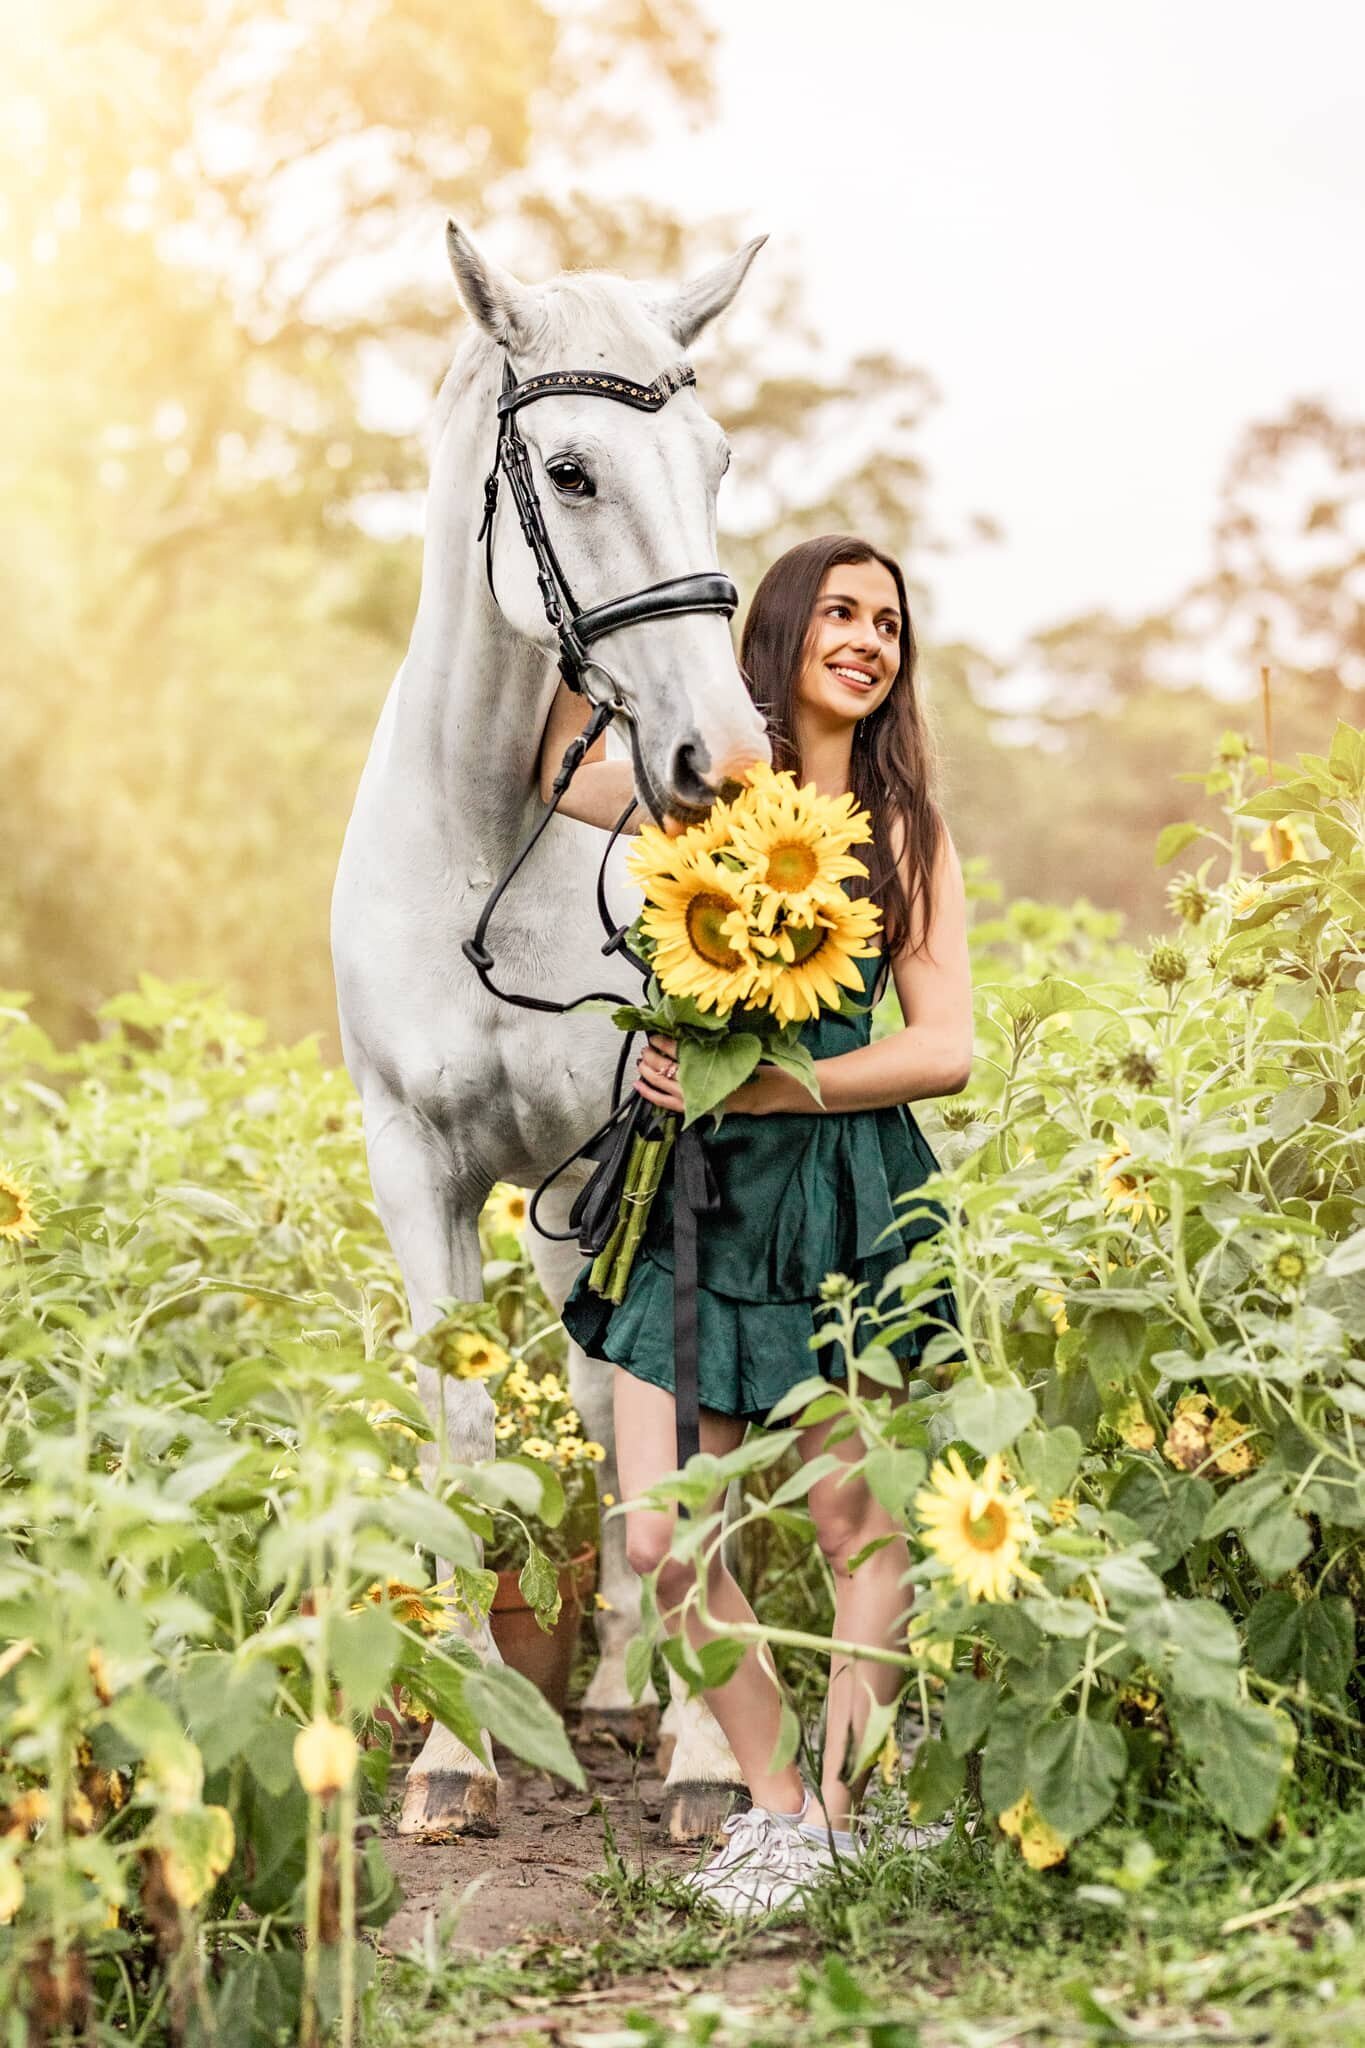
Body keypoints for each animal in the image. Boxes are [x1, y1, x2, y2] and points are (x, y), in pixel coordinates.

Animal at [331, 220, 773, 1843]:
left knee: (615, 1395)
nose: (725, 760)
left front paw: (704, 1750)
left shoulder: (646, 1148)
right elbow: (463, 1432)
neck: (486, 839)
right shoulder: (419, 1169)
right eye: (570, 472)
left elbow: (666, 1430)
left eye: (716, 458)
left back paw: (632, 1685)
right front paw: (459, 1749)